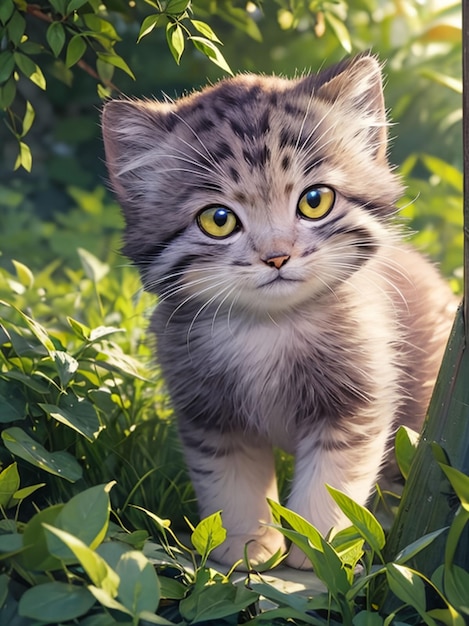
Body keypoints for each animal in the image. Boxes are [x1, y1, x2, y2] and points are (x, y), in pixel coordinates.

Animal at [101, 56, 454, 568]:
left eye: (315, 201)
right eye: (218, 220)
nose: (277, 256)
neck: (270, 327)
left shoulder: (358, 400)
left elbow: (333, 481)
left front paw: (321, 550)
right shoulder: (209, 414)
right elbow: (234, 487)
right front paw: (247, 548)